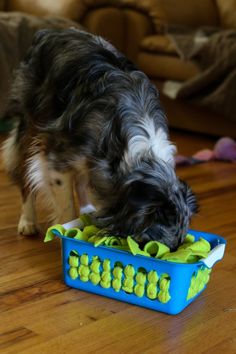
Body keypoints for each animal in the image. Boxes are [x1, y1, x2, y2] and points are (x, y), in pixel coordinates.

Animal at [1, 27, 197, 250]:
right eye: (154, 248)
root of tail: (50, 31)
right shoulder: (56, 156)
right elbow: (66, 207)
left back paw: (86, 209)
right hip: (32, 125)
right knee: (25, 177)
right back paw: (27, 221)